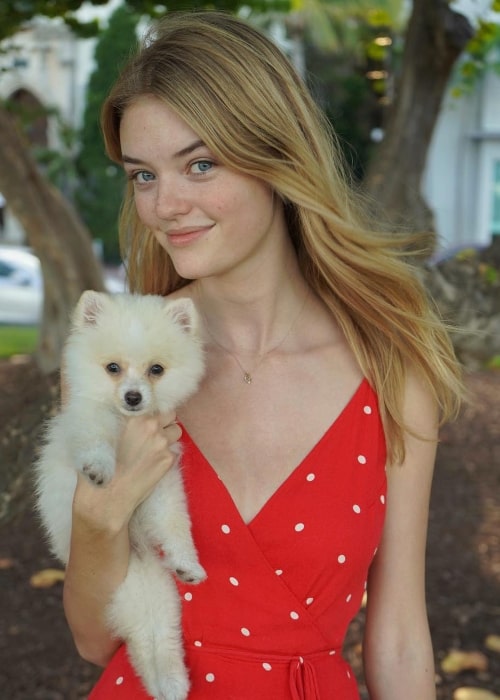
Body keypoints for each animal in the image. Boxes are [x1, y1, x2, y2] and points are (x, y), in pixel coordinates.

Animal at [35, 290, 206, 700]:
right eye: (113, 368)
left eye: (156, 370)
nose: (132, 397)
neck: (126, 422)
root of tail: (139, 556)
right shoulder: (86, 420)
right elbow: (95, 438)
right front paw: (99, 467)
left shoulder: (162, 484)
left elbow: (175, 523)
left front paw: (188, 562)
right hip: (128, 589)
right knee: (142, 638)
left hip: (156, 593)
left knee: (159, 636)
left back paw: (172, 682)